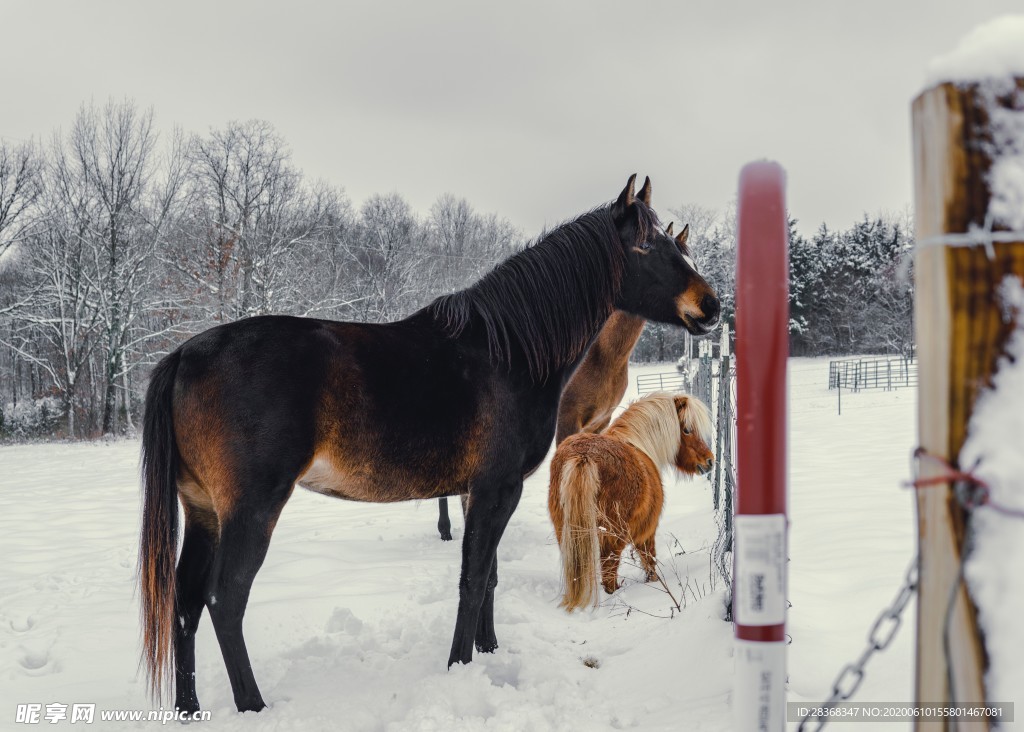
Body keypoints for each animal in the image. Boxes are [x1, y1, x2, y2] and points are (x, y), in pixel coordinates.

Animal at [548, 392, 714, 612]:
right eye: (687, 430)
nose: (710, 461)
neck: (639, 443)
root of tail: (583, 456)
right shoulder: (647, 533)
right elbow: (650, 564)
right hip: (610, 541)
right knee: (609, 577)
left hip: (568, 536)